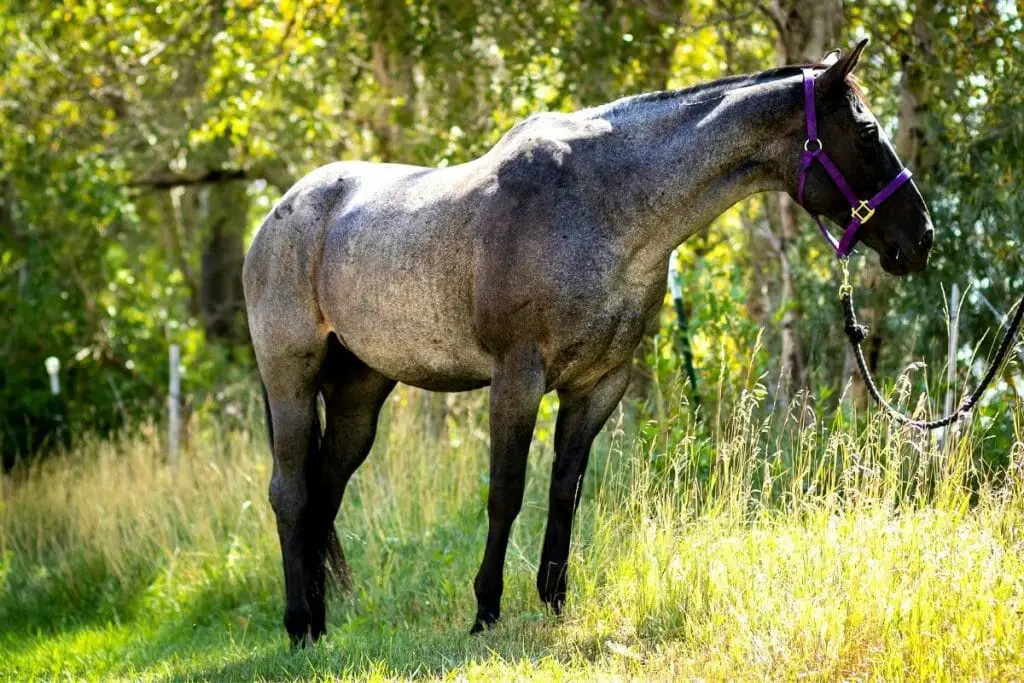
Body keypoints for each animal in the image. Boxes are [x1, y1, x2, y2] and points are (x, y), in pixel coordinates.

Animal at [243, 40, 933, 651]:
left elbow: (564, 492)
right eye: (867, 132)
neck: (604, 205)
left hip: (361, 389)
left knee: (325, 493)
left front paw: (554, 601)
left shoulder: (600, 383)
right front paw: (486, 611)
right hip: (290, 379)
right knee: (291, 493)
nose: (921, 238)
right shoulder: (517, 378)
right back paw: (298, 627)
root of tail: (283, 210)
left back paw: (321, 624)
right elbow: (505, 492)